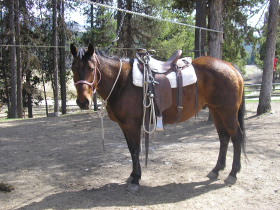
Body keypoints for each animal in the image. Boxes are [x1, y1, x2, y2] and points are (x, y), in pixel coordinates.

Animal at [71, 42, 246, 192]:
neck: (122, 81)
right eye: (73, 69)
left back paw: (233, 173)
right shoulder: (124, 125)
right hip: (216, 111)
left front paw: (136, 180)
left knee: (236, 137)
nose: (82, 102)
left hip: (228, 113)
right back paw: (216, 170)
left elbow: (135, 150)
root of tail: (230, 66)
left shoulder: (132, 125)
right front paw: (132, 176)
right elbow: (131, 149)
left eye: (91, 68)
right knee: (224, 137)